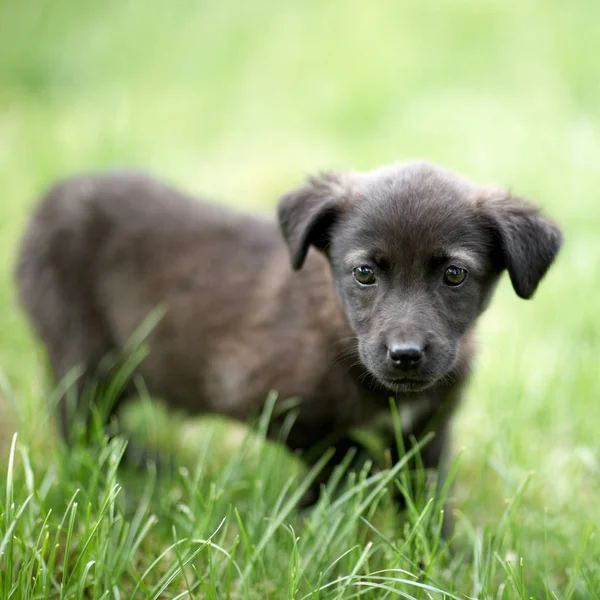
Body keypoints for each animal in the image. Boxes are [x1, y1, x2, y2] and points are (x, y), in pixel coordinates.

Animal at [15, 162, 564, 528]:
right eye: (364, 273)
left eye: (454, 275)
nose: (405, 355)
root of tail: (49, 201)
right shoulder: (264, 398)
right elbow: (338, 460)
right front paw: (321, 518)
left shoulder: (429, 430)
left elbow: (426, 499)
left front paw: (438, 559)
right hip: (81, 352)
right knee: (81, 427)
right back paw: (147, 466)